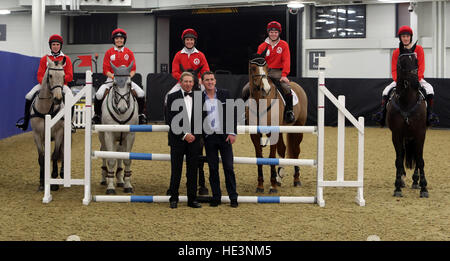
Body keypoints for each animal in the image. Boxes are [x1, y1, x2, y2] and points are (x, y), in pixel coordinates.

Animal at [29, 57, 66, 191]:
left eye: (63, 76)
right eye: (50, 75)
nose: (58, 99)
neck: (46, 110)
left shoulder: (59, 133)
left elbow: (54, 156)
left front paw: (54, 181)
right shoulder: (37, 135)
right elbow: (41, 157)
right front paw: (41, 182)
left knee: (63, 152)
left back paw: (62, 173)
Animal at [99, 60, 138, 192]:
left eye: (129, 84)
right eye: (115, 84)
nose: (122, 109)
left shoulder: (130, 135)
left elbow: (126, 159)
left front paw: (128, 185)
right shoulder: (108, 134)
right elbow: (111, 159)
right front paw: (110, 187)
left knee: (120, 153)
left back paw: (120, 180)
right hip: (102, 136)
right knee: (104, 151)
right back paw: (104, 178)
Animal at [244, 51, 308, 193]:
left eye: (266, 67)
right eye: (253, 68)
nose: (266, 89)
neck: (260, 102)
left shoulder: (272, 133)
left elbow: (272, 156)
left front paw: (272, 186)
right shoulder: (255, 135)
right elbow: (259, 157)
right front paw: (260, 186)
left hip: (298, 127)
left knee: (296, 151)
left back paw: (296, 179)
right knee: (283, 149)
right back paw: (279, 178)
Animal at [386, 42, 428, 197]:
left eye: (416, 61)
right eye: (402, 61)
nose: (416, 83)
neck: (407, 101)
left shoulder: (420, 134)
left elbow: (419, 160)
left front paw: (424, 188)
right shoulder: (396, 134)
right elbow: (399, 159)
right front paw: (397, 186)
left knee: (416, 155)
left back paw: (416, 182)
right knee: (402, 154)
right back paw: (403, 180)